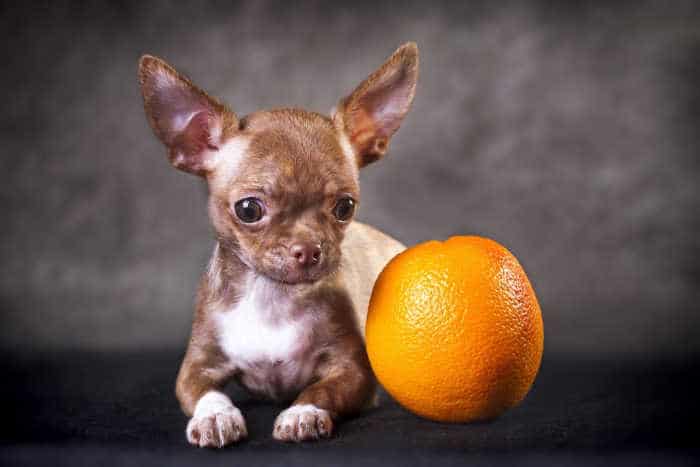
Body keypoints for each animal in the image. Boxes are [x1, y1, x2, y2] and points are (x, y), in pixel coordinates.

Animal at [139, 43, 418, 446]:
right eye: (249, 209)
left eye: (345, 207)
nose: (309, 250)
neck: (271, 295)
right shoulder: (196, 367)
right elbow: (206, 392)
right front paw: (216, 417)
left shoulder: (354, 372)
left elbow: (321, 389)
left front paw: (304, 412)